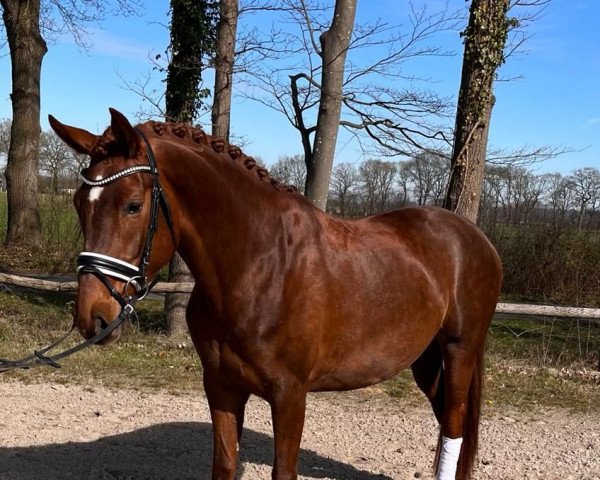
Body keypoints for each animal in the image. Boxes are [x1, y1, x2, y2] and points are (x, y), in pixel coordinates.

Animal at [50, 109, 502, 480]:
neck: (259, 266)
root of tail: (474, 237)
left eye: (132, 205)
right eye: (78, 203)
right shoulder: (221, 386)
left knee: (455, 426)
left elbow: (284, 470)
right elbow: (224, 464)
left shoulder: (289, 395)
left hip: (459, 350)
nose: (93, 316)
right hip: (425, 360)